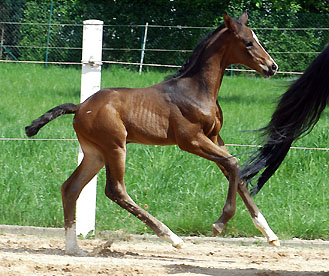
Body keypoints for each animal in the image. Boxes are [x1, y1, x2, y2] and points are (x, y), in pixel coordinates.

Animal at [26, 11, 280, 256]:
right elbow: (233, 163)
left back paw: (74, 248)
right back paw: (172, 237)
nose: (272, 66)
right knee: (115, 190)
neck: (197, 90)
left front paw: (269, 233)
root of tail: (80, 107)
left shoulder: (215, 138)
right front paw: (220, 223)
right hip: (115, 147)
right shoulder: (190, 140)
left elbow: (235, 173)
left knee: (71, 188)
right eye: (248, 42)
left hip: (94, 153)